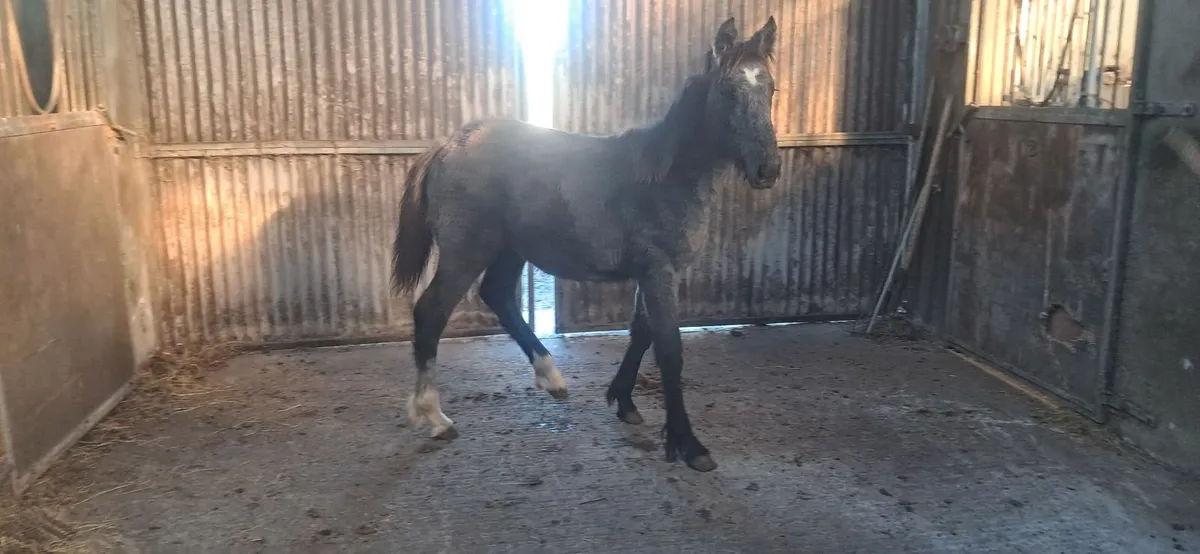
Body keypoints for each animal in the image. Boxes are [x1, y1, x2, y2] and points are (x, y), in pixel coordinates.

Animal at [391, 16, 781, 473]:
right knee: (431, 312)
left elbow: (640, 333)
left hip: (510, 250)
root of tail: (448, 145)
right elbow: (669, 347)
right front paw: (689, 444)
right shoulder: (658, 271)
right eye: (728, 91)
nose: (768, 169)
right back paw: (434, 416)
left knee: (498, 296)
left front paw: (624, 401)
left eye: (770, 88)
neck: (666, 176)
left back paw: (551, 378)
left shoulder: (649, 273)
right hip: (465, 252)